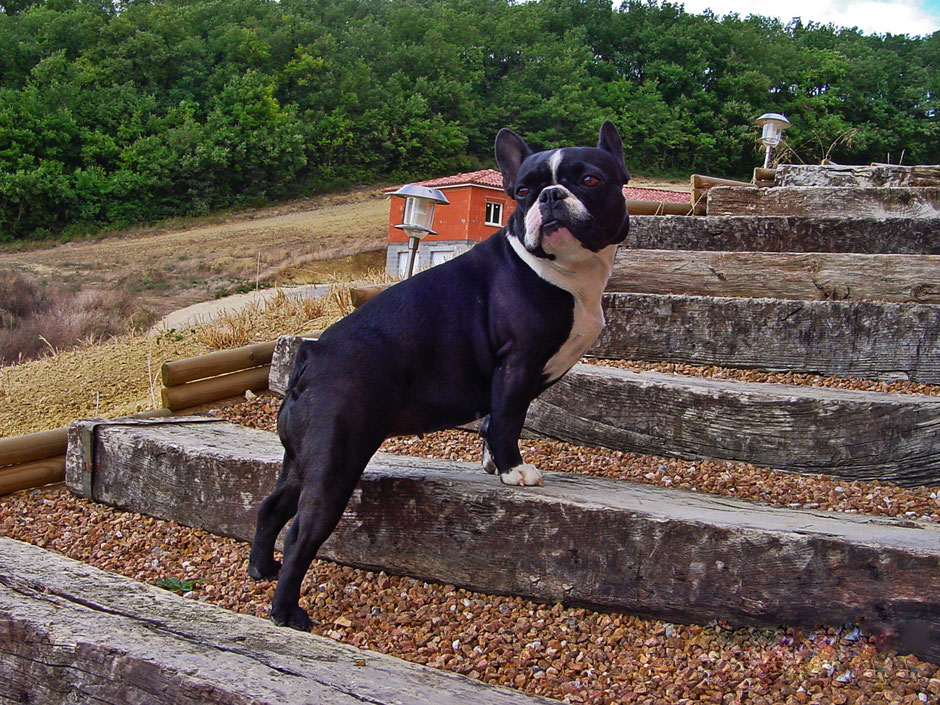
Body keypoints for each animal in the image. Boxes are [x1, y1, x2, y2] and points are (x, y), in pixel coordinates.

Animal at [250, 119, 632, 628]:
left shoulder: (511, 380)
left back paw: (261, 568)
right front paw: (513, 471)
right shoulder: (517, 362)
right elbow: (508, 420)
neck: (567, 272)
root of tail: (311, 356)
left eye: (589, 179)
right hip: (335, 459)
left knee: (272, 506)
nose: (550, 196)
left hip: (301, 457)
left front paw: (492, 462)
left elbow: (496, 420)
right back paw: (287, 611)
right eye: (523, 192)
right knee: (301, 532)